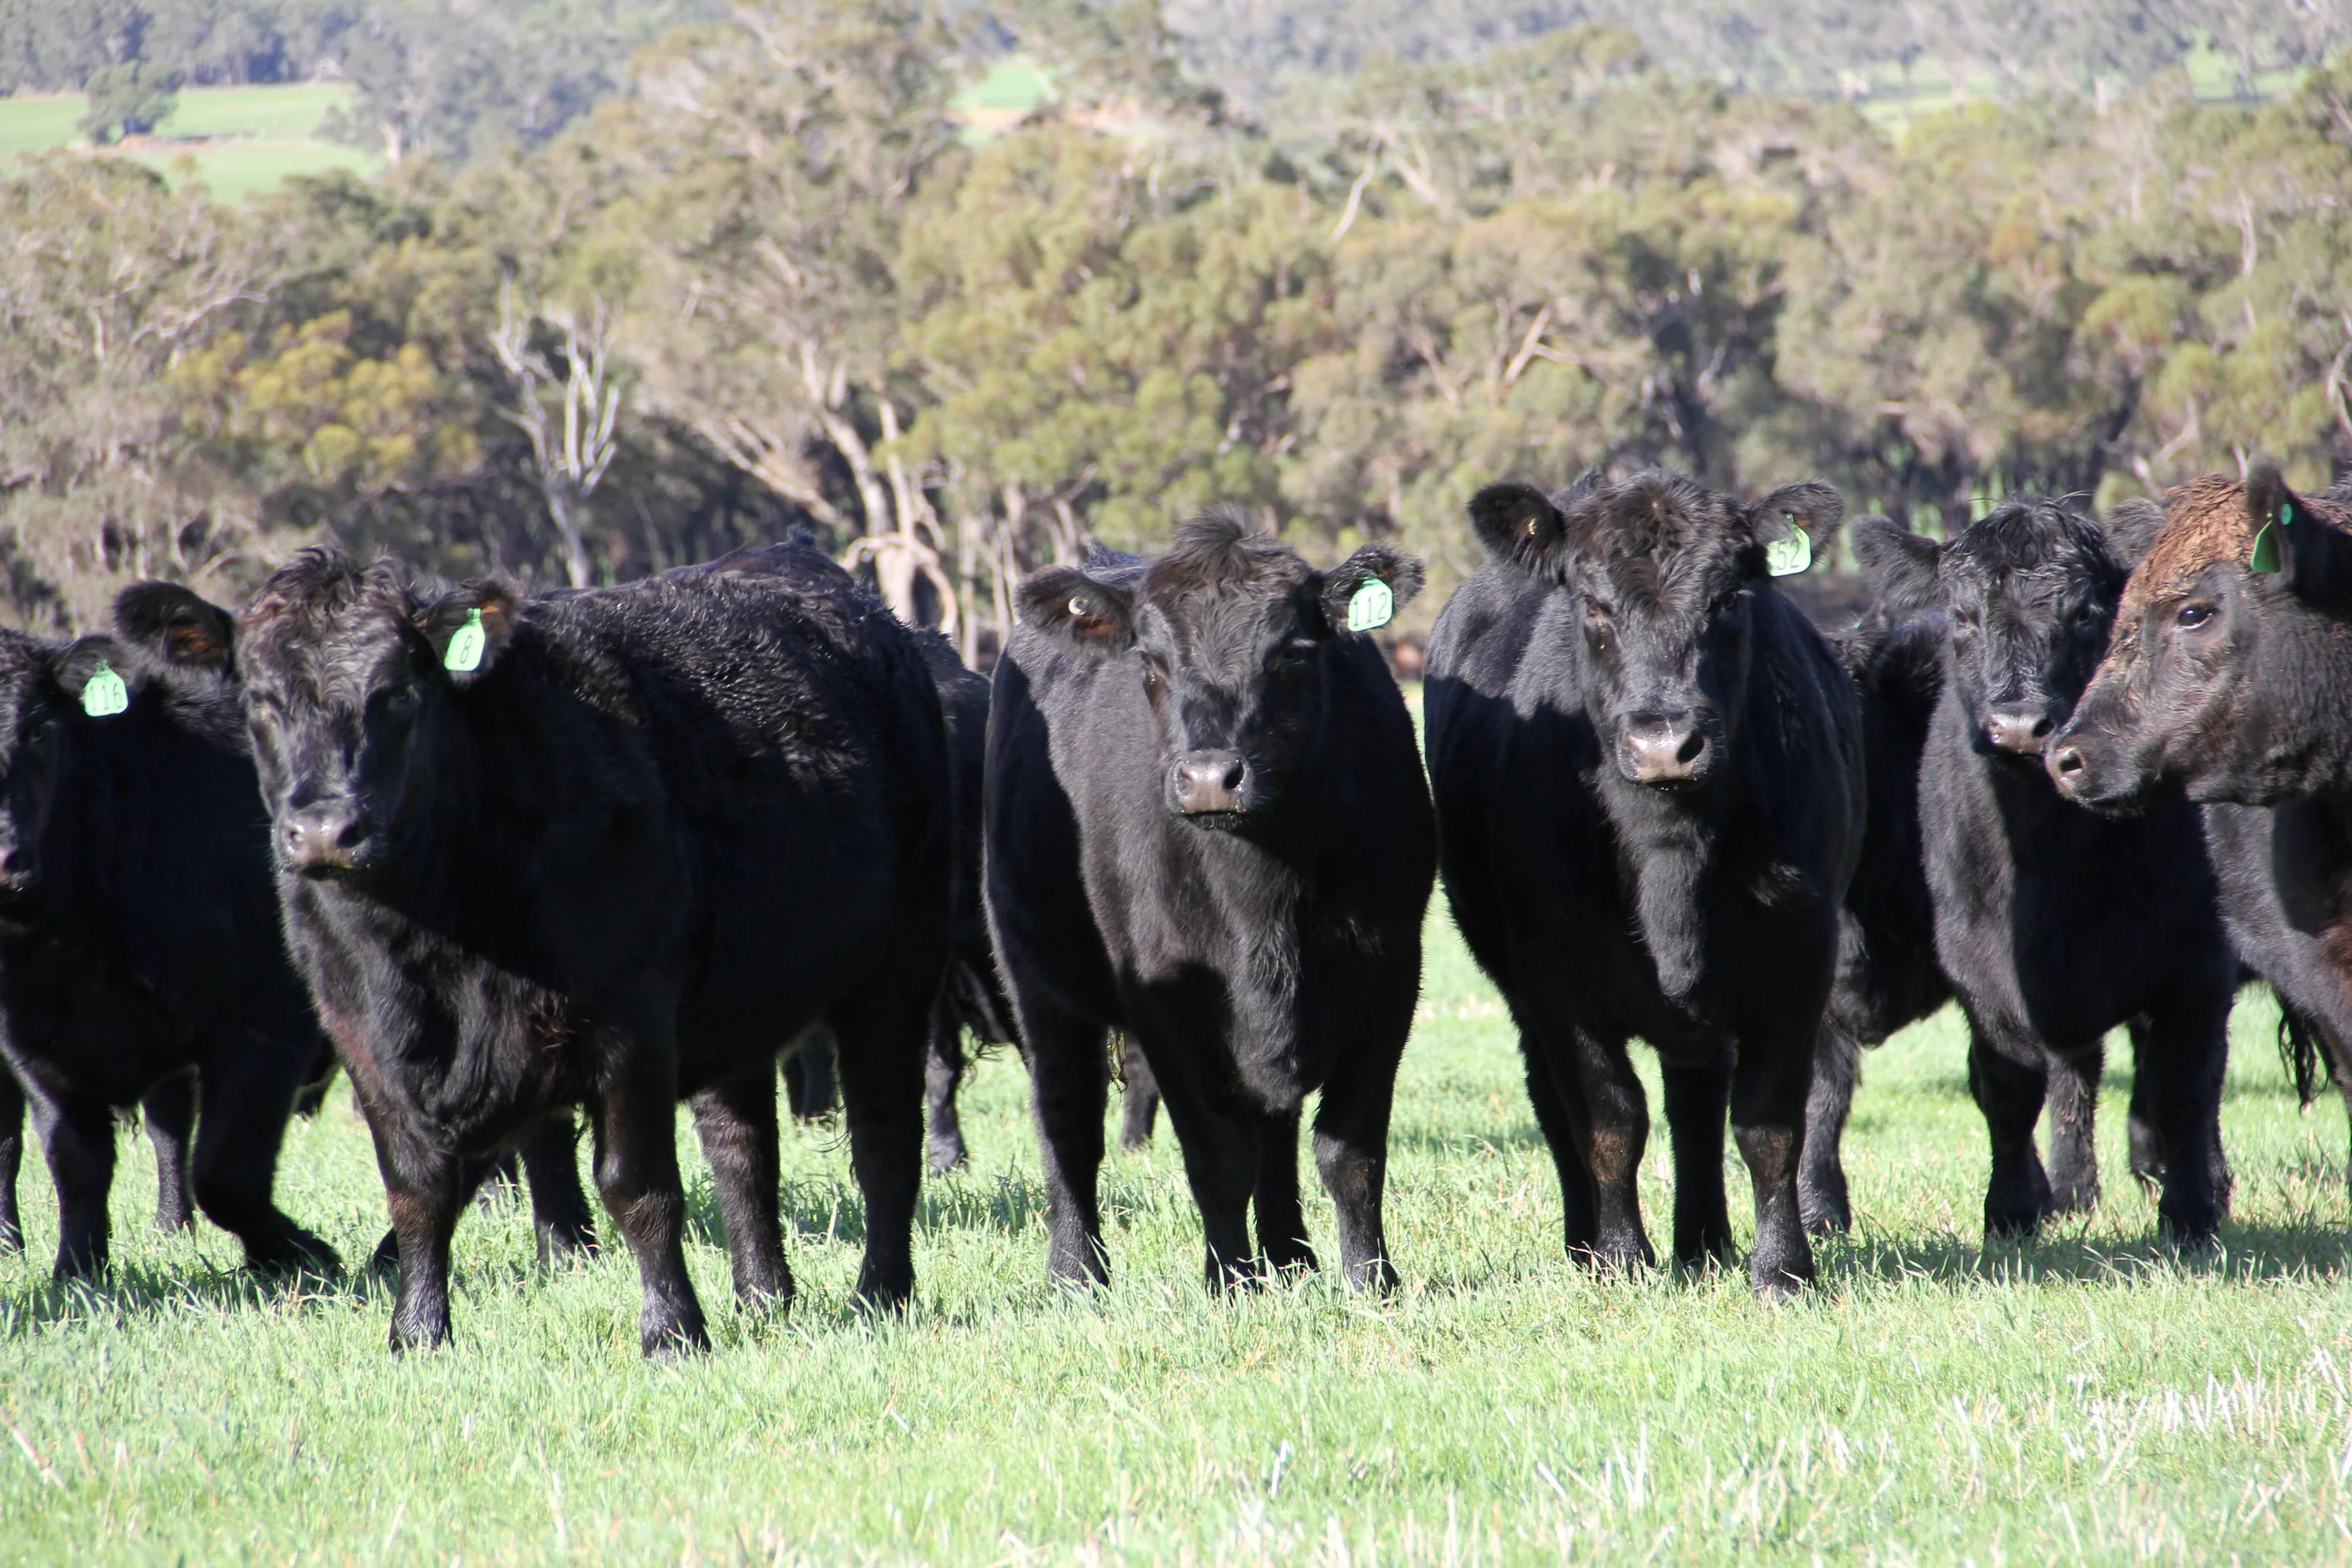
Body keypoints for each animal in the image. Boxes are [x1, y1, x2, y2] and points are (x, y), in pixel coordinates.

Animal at [235, 545, 951, 1356]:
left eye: (396, 692)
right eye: (261, 702)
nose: (327, 830)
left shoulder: (628, 1020)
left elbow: (635, 1186)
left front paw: (672, 1329)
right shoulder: (364, 1039)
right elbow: (417, 1191)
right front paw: (416, 1333)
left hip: (896, 968)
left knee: (885, 1134)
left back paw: (881, 1291)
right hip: (734, 1008)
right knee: (742, 1147)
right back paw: (764, 1295)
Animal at [985, 512, 1435, 1292]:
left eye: (1292, 653)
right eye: (1151, 660)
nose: (1208, 778)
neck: (1262, 896)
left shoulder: (1389, 974)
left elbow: (1348, 1150)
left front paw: (1369, 1278)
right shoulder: (1162, 994)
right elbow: (1218, 1153)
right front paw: (1230, 1280)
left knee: (1275, 1124)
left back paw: (1290, 1255)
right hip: (1033, 976)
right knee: (1067, 1117)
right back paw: (1076, 1272)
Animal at [1425, 468, 1861, 1296]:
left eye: (1728, 599)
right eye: (1593, 606)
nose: (1665, 741)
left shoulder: (1798, 959)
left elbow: (1768, 1123)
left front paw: (1782, 1269)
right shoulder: (1557, 983)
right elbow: (1608, 1120)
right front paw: (1622, 1257)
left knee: (1696, 1098)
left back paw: (1705, 1242)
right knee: (1558, 1105)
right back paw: (1588, 1244)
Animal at [1853, 496, 2234, 1245]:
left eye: (2085, 612)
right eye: (1963, 616)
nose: (2019, 724)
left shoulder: (2197, 962)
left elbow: (2184, 1087)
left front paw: (2189, 1214)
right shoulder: (1979, 967)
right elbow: (2007, 1087)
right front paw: (2009, 1210)